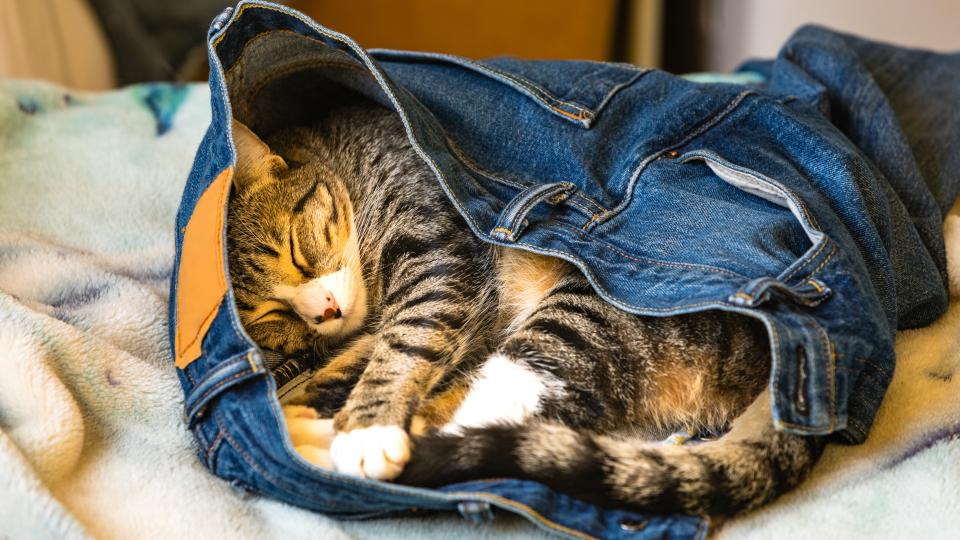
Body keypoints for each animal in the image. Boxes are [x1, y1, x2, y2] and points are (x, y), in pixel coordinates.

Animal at [225, 104, 824, 516]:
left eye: (296, 252)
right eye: (271, 316)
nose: (323, 312)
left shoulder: (438, 265)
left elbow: (402, 349)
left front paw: (367, 430)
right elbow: (351, 363)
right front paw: (310, 396)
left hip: (581, 318)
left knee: (485, 417)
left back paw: (315, 451)